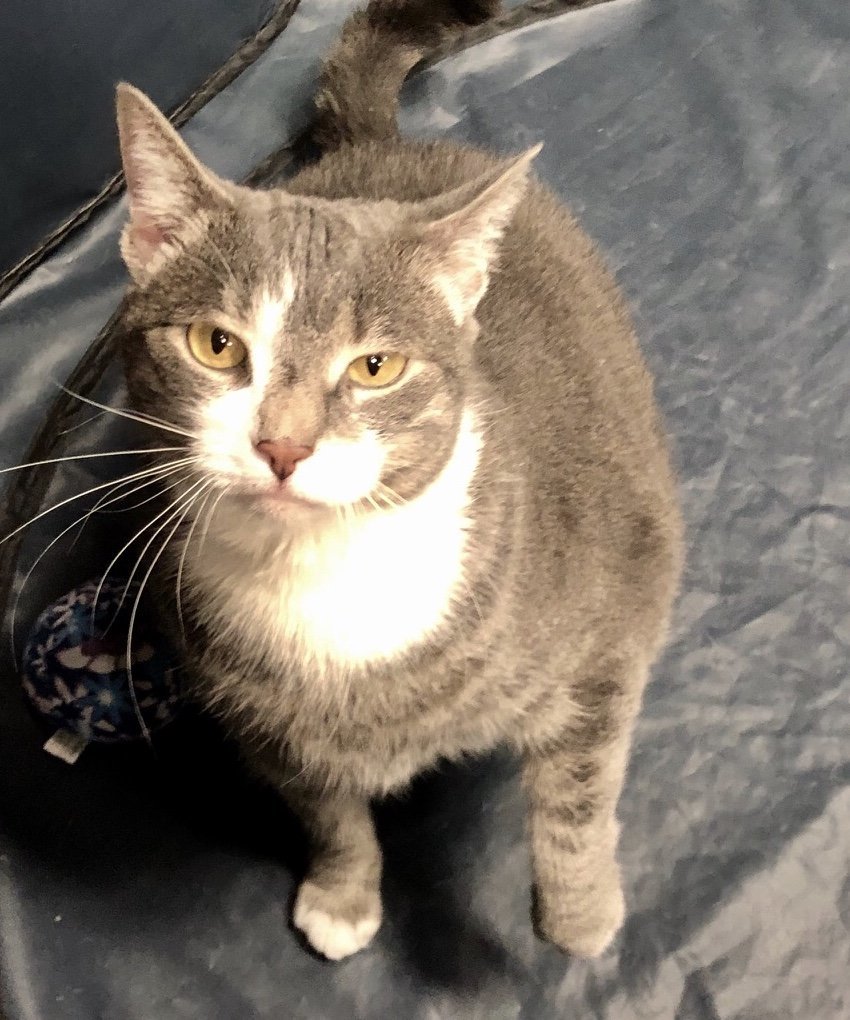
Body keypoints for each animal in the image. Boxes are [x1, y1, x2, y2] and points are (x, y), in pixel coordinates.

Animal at [112, 0, 681, 958]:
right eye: (216, 345)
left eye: (376, 367)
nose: (283, 444)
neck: (321, 572)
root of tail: (384, 145)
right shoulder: (270, 726)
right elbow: (329, 813)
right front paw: (343, 896)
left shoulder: (609, 628)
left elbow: (579, 790)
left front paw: (579, 917)